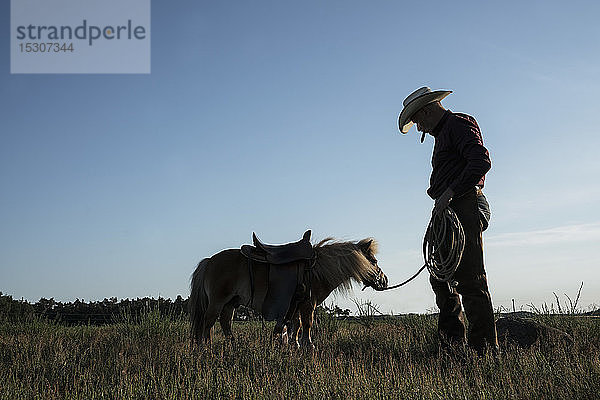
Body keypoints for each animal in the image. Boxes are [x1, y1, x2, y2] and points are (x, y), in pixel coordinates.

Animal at [189, 236, 390, 346]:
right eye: (373, 261)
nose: (385, 280)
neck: (317, 270)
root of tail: (209, 261)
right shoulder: (308, 303)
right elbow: (307, 324)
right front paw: (309, 346)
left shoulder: (296, 304)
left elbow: (297, 325)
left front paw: (295, 345)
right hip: (217, 301)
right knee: (208, 323)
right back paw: (206, 347)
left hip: (231, 303)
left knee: (225, 323)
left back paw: (232, 345)